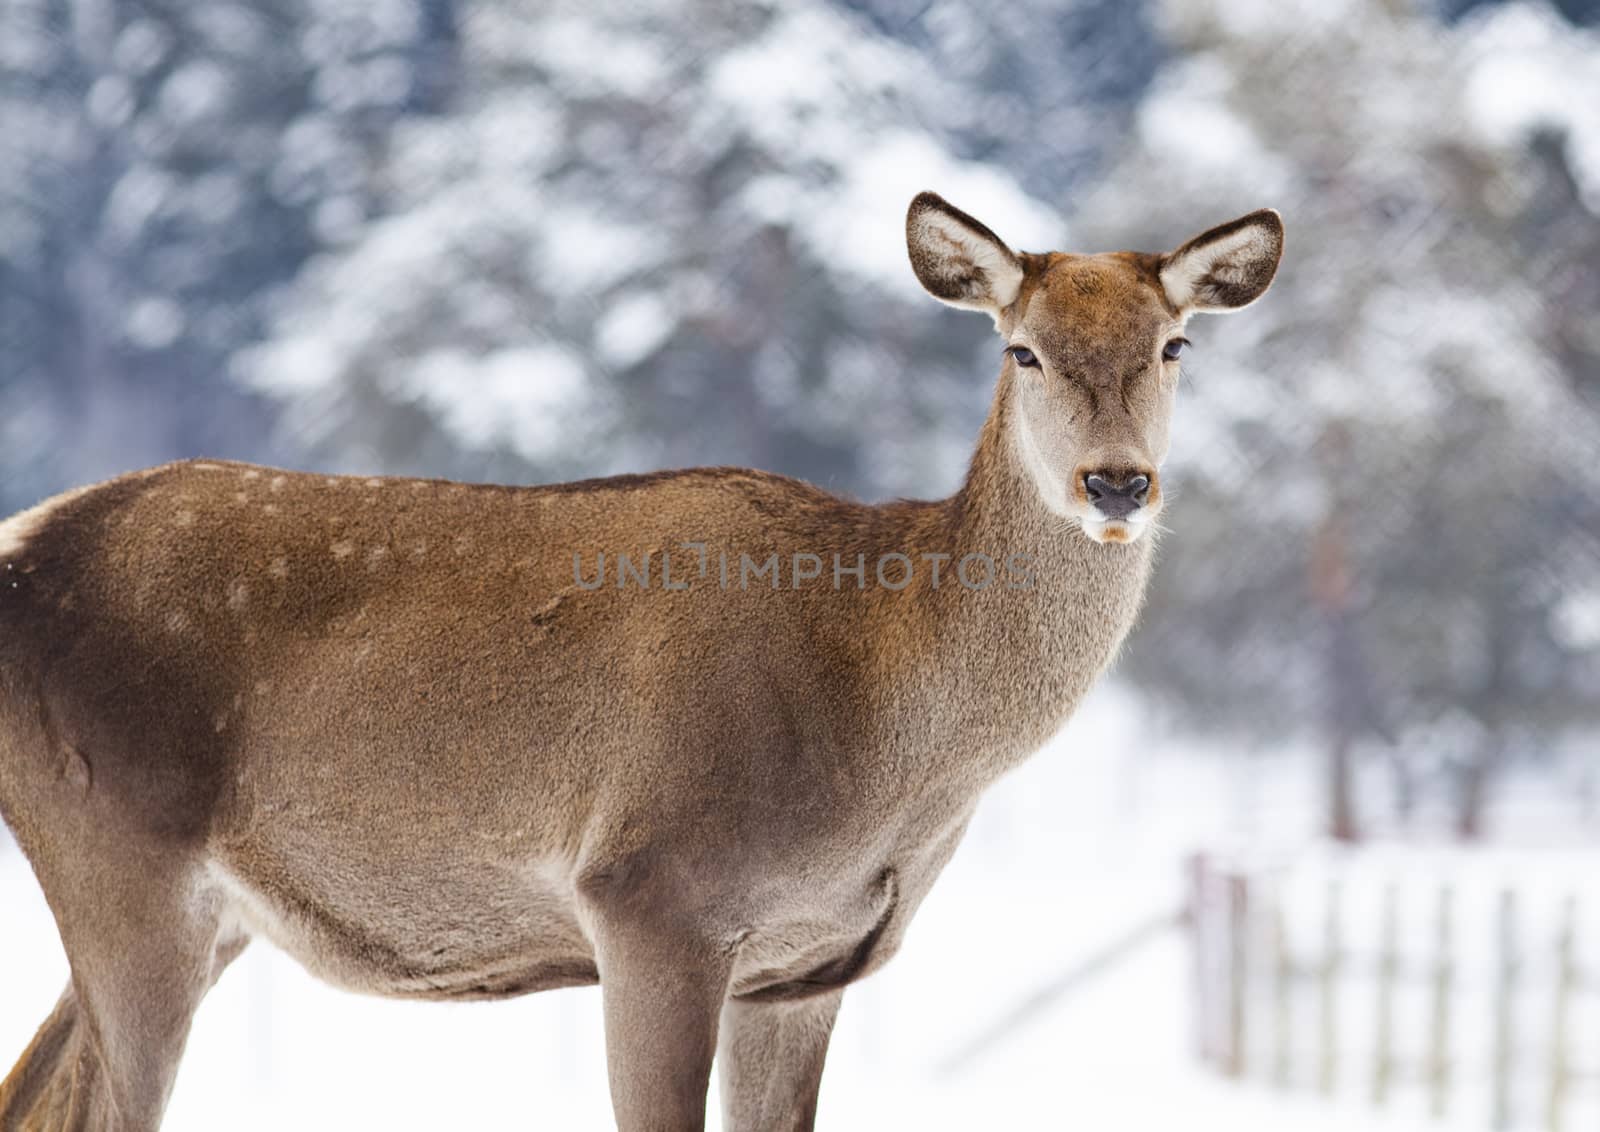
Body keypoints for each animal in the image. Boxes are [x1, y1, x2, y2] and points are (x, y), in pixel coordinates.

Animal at [0, 194, 1280, 1132]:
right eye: (1021, 351)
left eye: (1175, 344)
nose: (1115, 482)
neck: (888, 736)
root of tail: (19, 544)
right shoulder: (652, 892)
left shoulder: (808, 966)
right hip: (119, 850)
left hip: (208, 910)